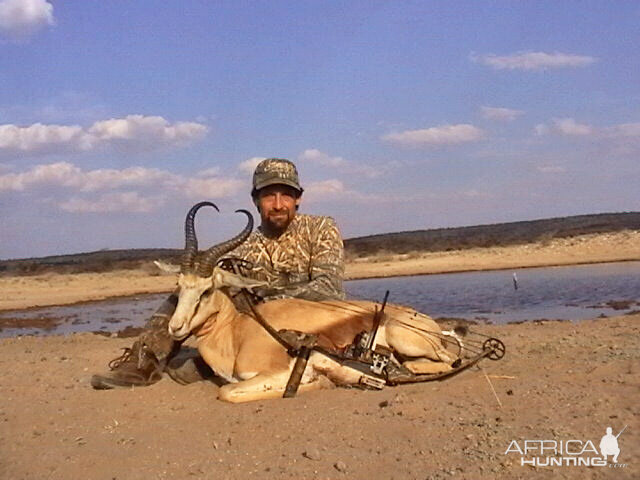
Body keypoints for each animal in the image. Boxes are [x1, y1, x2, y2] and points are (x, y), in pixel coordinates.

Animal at [168, 201, 458, 404]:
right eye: (178, 285)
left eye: (206, 290)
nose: (175, 327)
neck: (236, 333)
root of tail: (425, 321)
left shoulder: (274, 372)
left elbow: (227, 392)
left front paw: (321, 382)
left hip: (404, 339)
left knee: (450, 359)